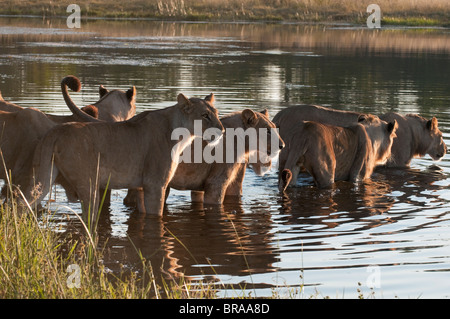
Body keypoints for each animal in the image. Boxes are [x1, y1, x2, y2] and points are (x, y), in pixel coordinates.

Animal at [22, 94, 223, 219]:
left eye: (216, 113)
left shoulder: (142, 188)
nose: (222, 130)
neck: (181, 133)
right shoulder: (155, 184)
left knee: (20, 202)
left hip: (43, 178)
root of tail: (54, 133)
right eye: (205, 115)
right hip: (88, 184)